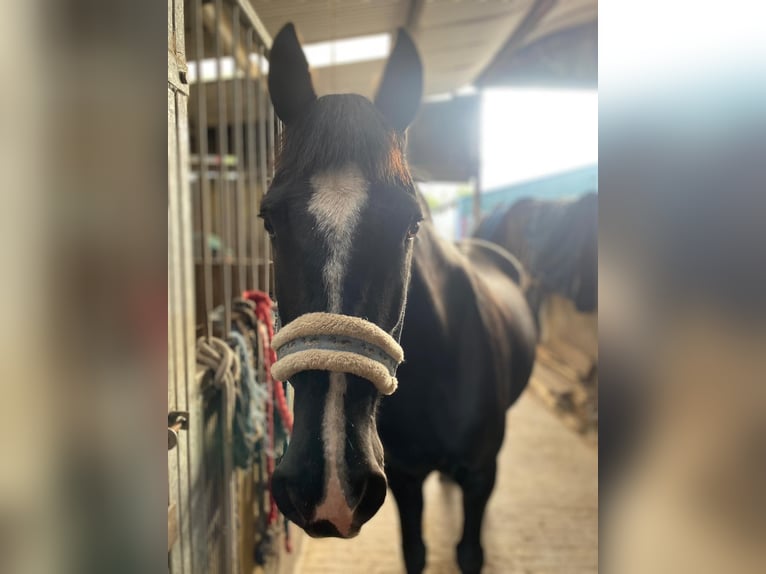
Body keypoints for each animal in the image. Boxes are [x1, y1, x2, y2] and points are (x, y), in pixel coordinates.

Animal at [268, 23, 536, 574]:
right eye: (269, 220)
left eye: (410, 223)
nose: (327, 486)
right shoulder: (407, 479)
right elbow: (415, 552)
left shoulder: (481, 473)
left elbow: (469, 552)